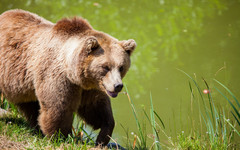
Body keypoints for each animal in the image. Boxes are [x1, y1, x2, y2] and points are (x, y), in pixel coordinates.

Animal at [0, 9, 135, 145]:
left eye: (121, 67)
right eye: (105, 67)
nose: (117, 85)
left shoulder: (89, 87)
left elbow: (96, 107)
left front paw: (103, 136)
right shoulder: (58, 78)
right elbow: (59, 108)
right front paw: (62, 137)